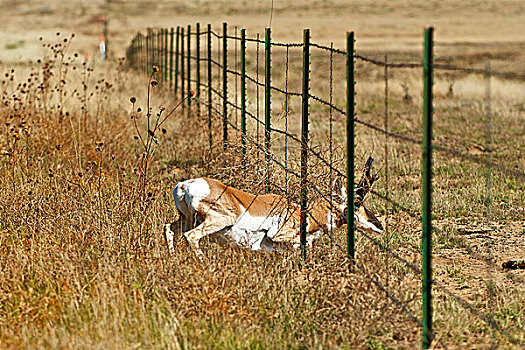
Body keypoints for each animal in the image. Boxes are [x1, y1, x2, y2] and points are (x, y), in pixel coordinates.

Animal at [166, 158, 382, 254]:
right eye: (357, 202)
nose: (379, 225)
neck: (303, 214)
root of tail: (187, 184)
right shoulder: (277, 236)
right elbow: (303, 243)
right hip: (218, 220)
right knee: (191, 236)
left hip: (186, 219)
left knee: (169, 228)